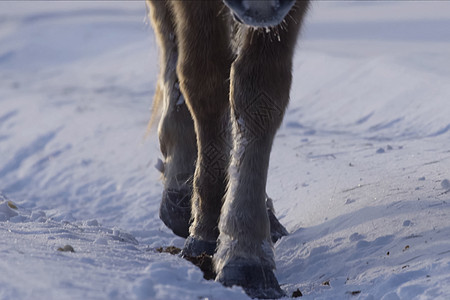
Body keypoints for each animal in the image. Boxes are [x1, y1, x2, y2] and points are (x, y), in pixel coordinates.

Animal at [148, 1, 310, 298]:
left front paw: (246, 254)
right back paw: (180, 188)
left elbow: (260, 92)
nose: (260, 7)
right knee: (168, 36)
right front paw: (207, 229)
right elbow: (205, 81)